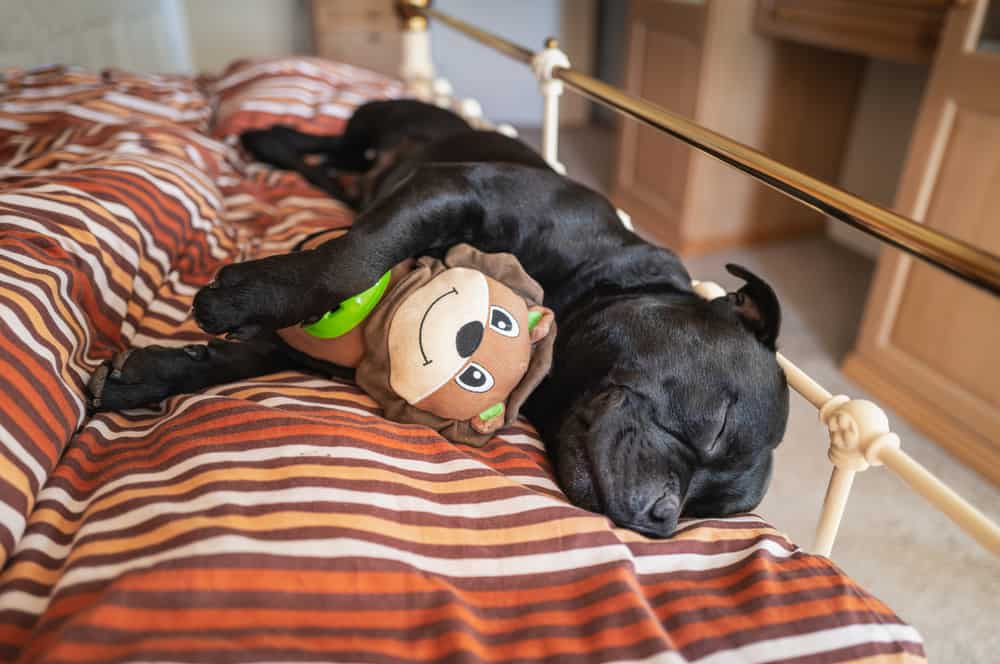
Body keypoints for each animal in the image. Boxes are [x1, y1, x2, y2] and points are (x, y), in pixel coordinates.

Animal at [88, 100, 788, 540]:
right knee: (333, 143)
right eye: (717, 425)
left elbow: (252, 355)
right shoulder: (448, 189)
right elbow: (350, 261)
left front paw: (149, 375)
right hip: (376, 124)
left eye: (702, 512)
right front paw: (244, 296)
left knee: (334, 168)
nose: (660, 522)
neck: (602, 282)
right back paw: (270, 135)